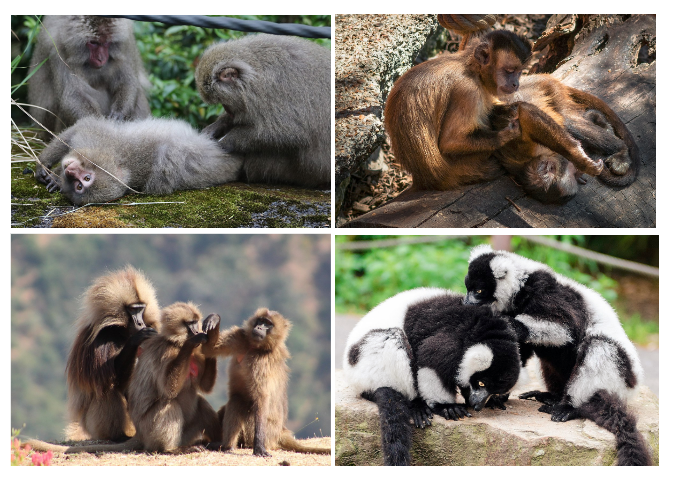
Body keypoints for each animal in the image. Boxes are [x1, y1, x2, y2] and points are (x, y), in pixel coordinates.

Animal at [34, 117, 243, 205]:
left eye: (84, 181)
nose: (70, 171)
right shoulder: (96, 139)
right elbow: (75, 131)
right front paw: (43, 165)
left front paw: (56, 179)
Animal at [65, 266, 160, 440]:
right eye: (132, 310)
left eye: (141, 309)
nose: (140, 323)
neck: (121, 331)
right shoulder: (101, 338)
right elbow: (111, 379)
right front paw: (136, 339)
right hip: (92, 425)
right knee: (106, 387)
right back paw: (117, 435)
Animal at [193, 34, 330, 189]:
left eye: (224, 102)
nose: (229, 111)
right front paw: (215, 128)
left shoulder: (271, 90)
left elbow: (291, 133)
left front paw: (223, 143)